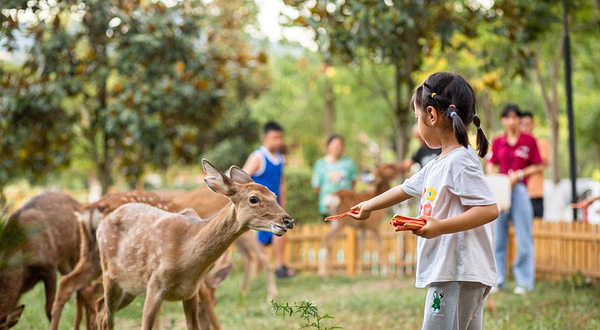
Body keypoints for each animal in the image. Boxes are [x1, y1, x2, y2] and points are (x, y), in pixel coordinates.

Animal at [95, 159, 294, 328]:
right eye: (253, 198)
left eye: (275, 195)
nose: (288, 220)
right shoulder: (155, 286)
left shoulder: (190, 293)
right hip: (109, 275)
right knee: (106, 316)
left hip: (129, 288)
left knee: (101, 309)